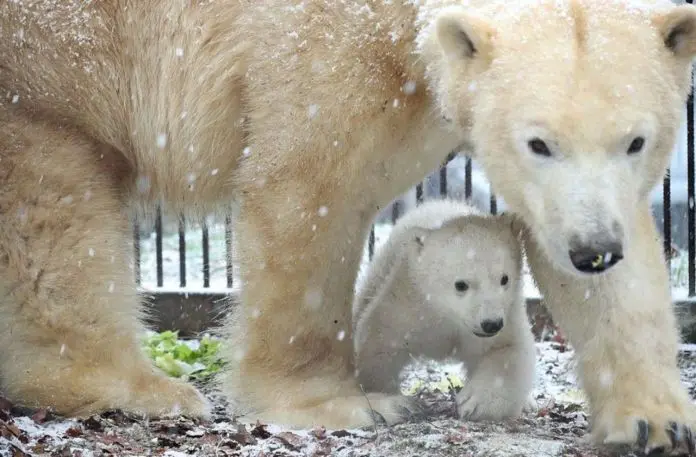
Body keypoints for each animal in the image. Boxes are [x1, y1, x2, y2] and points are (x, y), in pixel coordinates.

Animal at [0, 0, 692, 452]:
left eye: (637, 140)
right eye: (539, 142)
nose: (594, 249)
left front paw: (652, 419)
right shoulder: (323, 49)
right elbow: (305, 191)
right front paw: (347, 404)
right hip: (53, 58)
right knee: (58, 203)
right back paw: (137, 388)